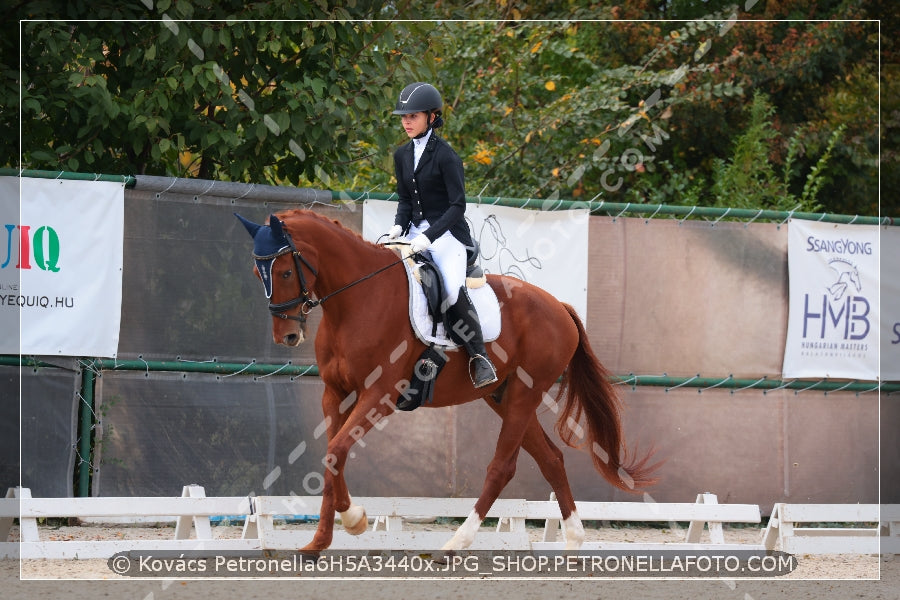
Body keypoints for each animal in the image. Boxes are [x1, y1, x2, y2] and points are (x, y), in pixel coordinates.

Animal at [236, 209, 652, 552]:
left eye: (285, 271)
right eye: (258, 274)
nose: (287, 336)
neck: (357, 299)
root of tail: (560, 307)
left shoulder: (380, 394)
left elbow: (336, 450)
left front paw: (354, 521)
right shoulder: (334, 393)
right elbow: (331, 455)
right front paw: (320, 540)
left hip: (525, 393)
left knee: (502, 467)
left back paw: (456, 543)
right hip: (503, 397)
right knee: (550, 459)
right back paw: (574, 540)